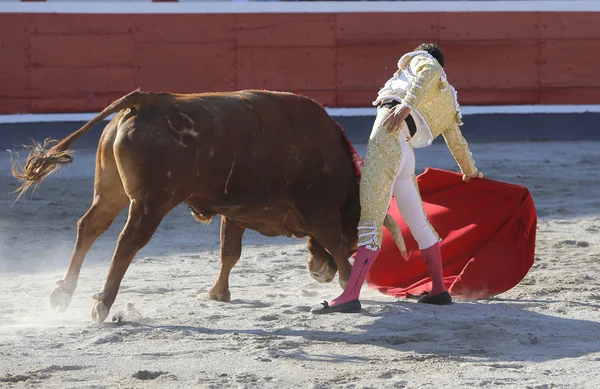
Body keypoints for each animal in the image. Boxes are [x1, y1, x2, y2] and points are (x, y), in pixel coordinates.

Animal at [12, 89, 404, 322]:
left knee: (89, 227)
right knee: (127, 243)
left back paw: (63, 292)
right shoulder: (321, 211)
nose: (317, 273)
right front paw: (348, 286)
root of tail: (150, 100)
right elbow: (336, 244)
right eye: (354, 235)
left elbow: (229, 252)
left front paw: (217, 294)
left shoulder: (238, 212)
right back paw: (102, 303)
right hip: (150, 202)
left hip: (111, 192)